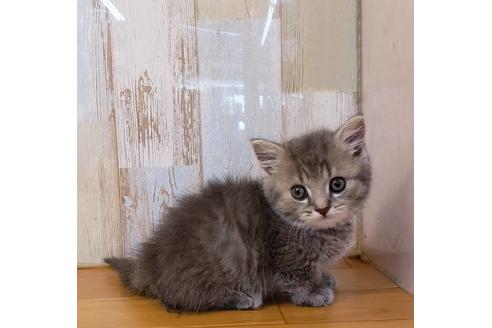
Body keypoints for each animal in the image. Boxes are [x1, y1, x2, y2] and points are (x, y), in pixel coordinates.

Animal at [105, 115, 370, 312]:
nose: (322, 208)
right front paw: (313, 293)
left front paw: (324, 279)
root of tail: (149, 260)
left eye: (337, 184)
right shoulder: (286, 257)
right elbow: (297, 277)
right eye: (298, 192)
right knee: (181, 298)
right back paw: (242, 298)